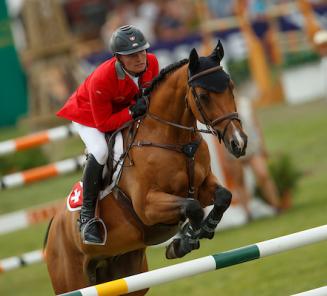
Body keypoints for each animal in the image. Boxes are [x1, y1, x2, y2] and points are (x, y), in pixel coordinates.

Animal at [44, 40, 247, 294]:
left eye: (230, 86)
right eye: (203, 95)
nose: (238, 142)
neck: (176, 141)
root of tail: (53, 228)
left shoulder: (202, 186)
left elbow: (223, 197)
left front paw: (203, 230)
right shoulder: (147, 206)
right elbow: (192, 207)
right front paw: (185, 240)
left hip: (127, 272)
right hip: (71, 279)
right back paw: (90, 229)